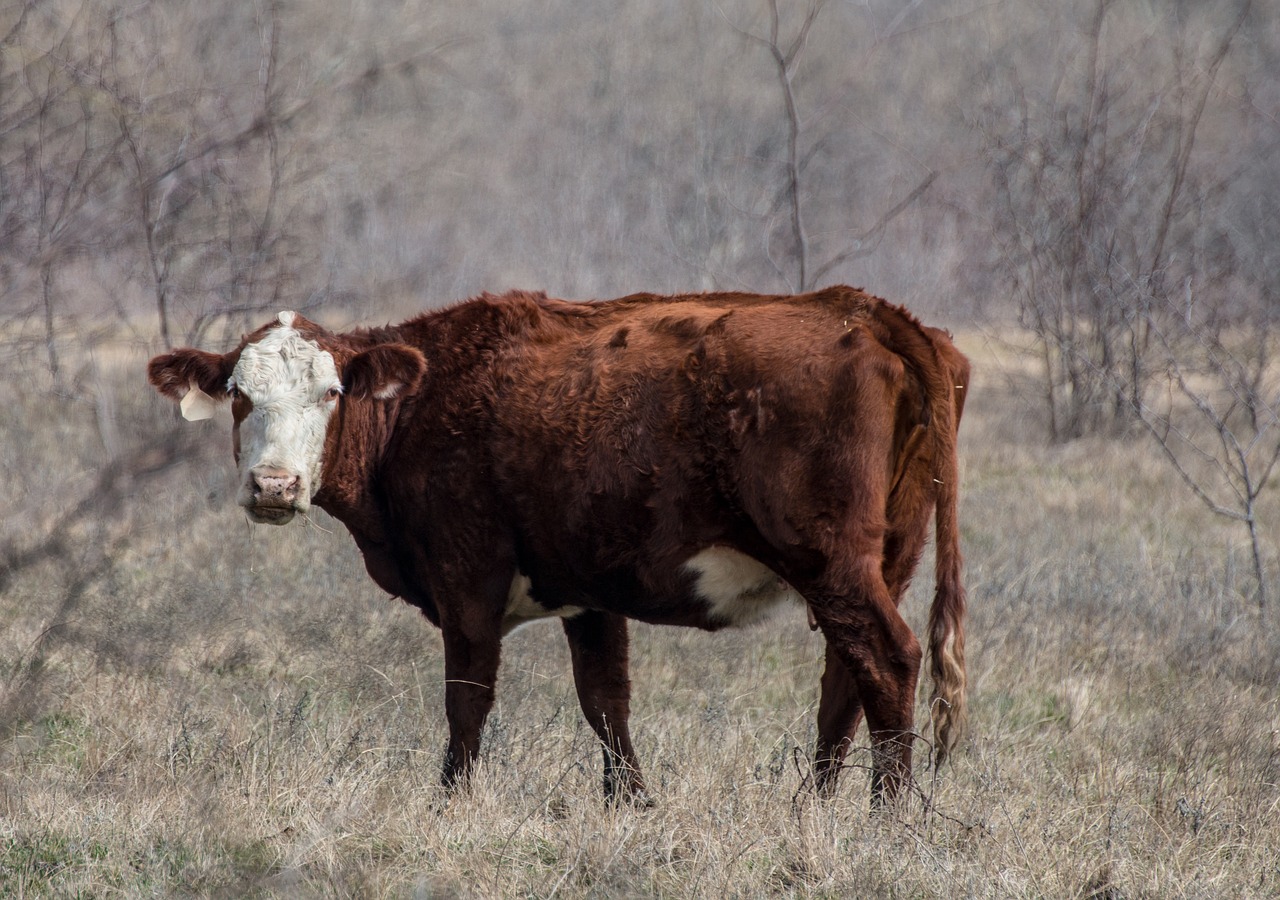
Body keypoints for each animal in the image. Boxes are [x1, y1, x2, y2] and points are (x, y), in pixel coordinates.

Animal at [147, 285, 967, 803]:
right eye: (240, 396)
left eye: (330, 392)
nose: (274, 485)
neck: (421, 405)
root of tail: (863, 309)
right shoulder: (588, 592)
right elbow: (606, 702)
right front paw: (632, 806)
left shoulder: (466, 578)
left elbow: (468, 700)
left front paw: (450, 805)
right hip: (883, 559)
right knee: (845, 678)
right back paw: (814, 806)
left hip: (830, 559)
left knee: (886, 659)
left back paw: (885, 813)